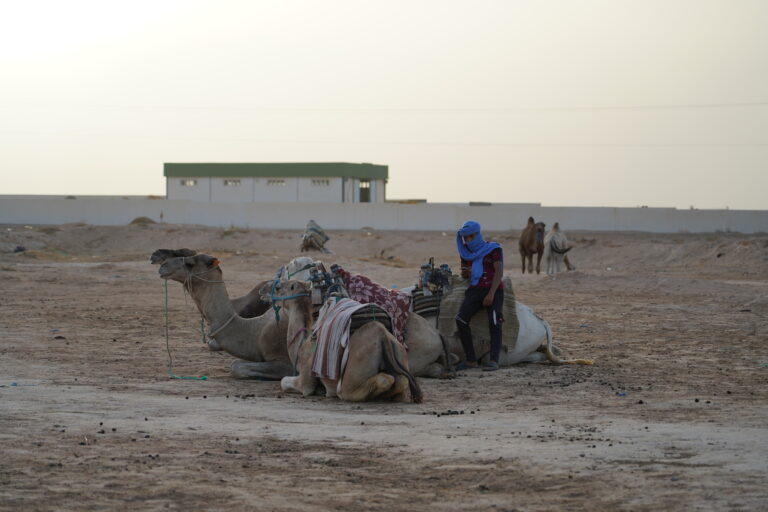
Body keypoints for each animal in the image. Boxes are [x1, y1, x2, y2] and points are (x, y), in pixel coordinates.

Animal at [157, 253, 294, 380]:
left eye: (190, 263)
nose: (163, 265)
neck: (255, 332)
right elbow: (235, 363)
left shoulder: (284, 361)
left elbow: (236, 367)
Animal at [272, 280, 424, 404]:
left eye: (280, 288)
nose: (272, 290)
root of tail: (382, 334)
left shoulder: (306, 378)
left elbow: (285, 381)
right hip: (399, 352)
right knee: (401, 382)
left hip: (354, 370)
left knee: (365, 386)